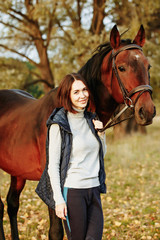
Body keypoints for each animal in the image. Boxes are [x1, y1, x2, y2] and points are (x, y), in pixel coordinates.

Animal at [0, 25, 155, 239]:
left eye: (147, 66)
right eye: (122, 68)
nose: (147, 111)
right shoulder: (53, 184)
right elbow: (56, 231)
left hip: (17, 172)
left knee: (12, 204)